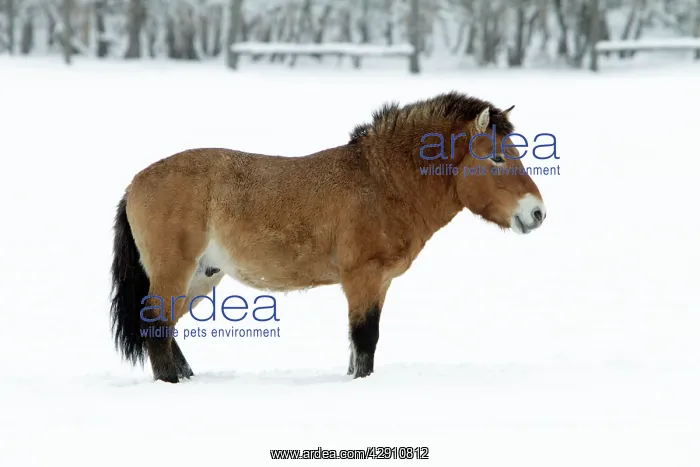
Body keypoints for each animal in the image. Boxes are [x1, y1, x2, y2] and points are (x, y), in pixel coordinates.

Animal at [109, 91, 547, 384]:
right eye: (497, 157)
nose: (537, 212)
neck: (382, 182)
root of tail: (134, 184)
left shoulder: (379, 283)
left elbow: (358, 346)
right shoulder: (362, 278)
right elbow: (365, 340)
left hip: (202, 276)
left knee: (166, 328)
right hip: (175, 272)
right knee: (156, 325)